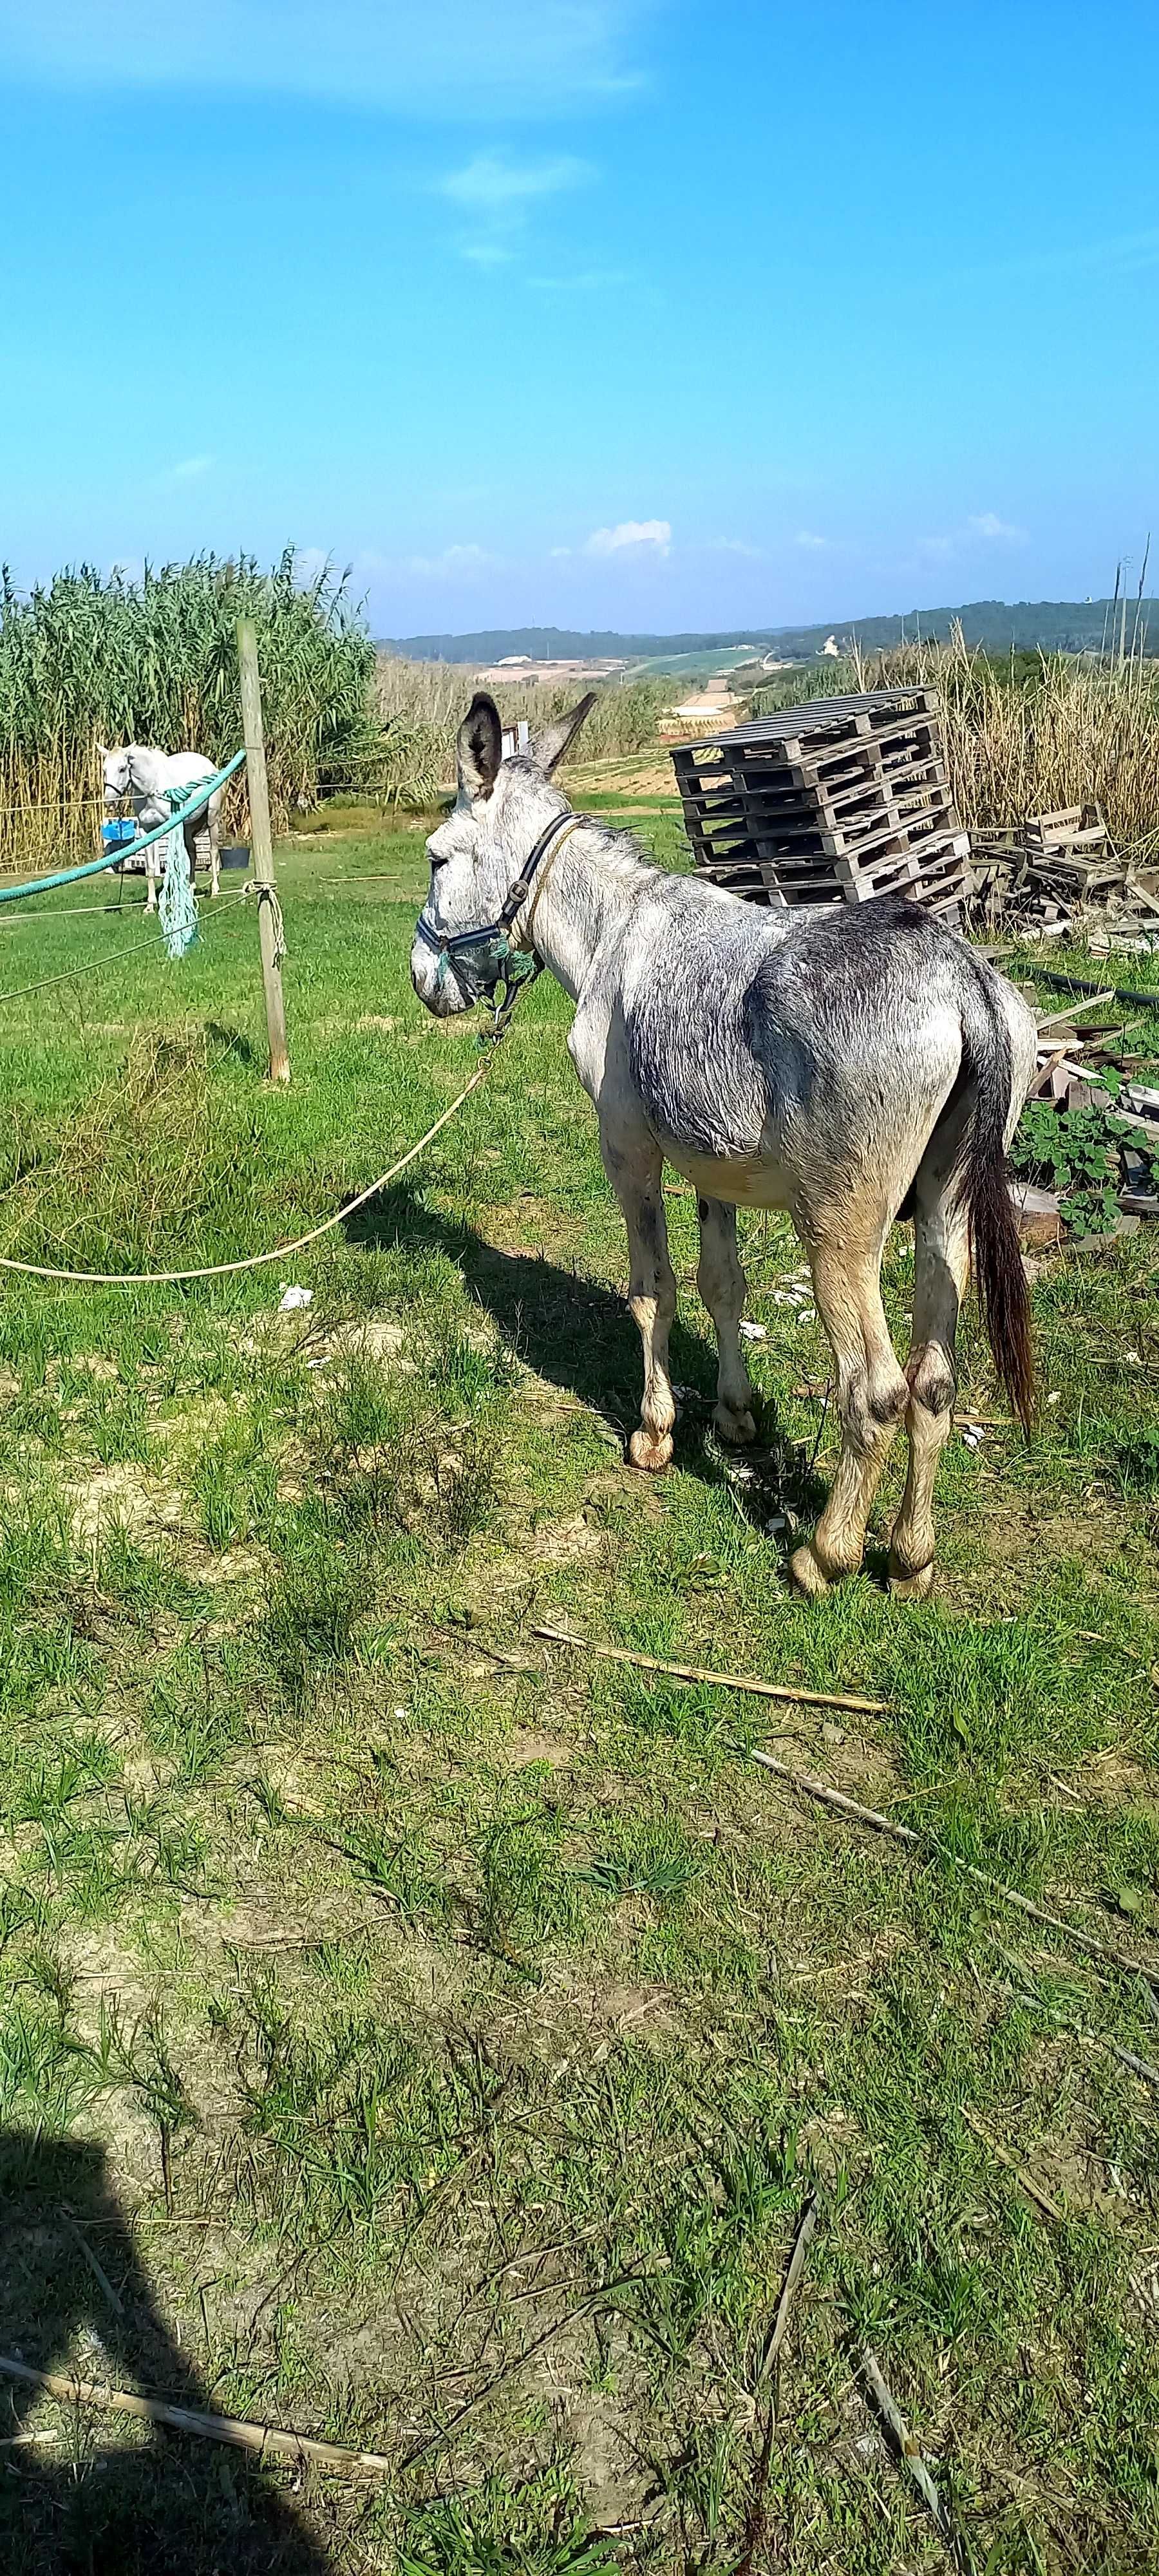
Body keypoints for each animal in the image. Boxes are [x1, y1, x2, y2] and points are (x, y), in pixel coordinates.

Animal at [104, 742, 224, 912]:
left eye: (122, 769)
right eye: (105, 770)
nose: (109, 801)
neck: (153, 787)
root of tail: (210, 766)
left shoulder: (171, 827)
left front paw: (174, 902)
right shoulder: (146, 831)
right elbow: (150, 868)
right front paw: (150, 906)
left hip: (212, 819)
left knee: (213, 851)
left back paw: (214, 891)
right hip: (187, 826)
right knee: (192, 852)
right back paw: (191, 888)